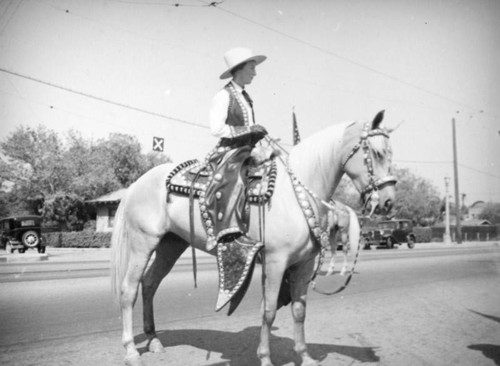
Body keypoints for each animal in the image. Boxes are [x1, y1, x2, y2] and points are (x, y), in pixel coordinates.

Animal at [111, 111, 396, 366]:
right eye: (377, 153)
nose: (388, 201)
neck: (296, 194)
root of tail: (136, 183)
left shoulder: (303, 266)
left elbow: (299, 310)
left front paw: (305, 357)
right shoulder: (275, 262)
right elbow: (268, 312)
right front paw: (266, 358)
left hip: (171, 244)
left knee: (149, 284)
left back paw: (154, 340)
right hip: (143, 242)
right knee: (129, 290)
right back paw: (131, 351)